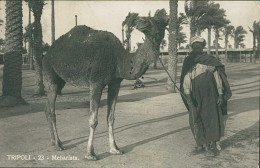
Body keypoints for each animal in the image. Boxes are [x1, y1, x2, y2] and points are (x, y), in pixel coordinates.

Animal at [42, 8, 169, 160]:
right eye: (146, 20)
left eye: (158, 21)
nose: (140, 22)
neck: (120, 60)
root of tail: (47, 53)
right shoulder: (96, 83)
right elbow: (93, 120)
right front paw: (90, 153)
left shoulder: (115, 83)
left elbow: (110, 117)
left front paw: (115, 149)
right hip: (49, 74)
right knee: (51, 110)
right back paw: (58, 144)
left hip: (61, 80)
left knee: (47, 108)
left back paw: (54, 141)